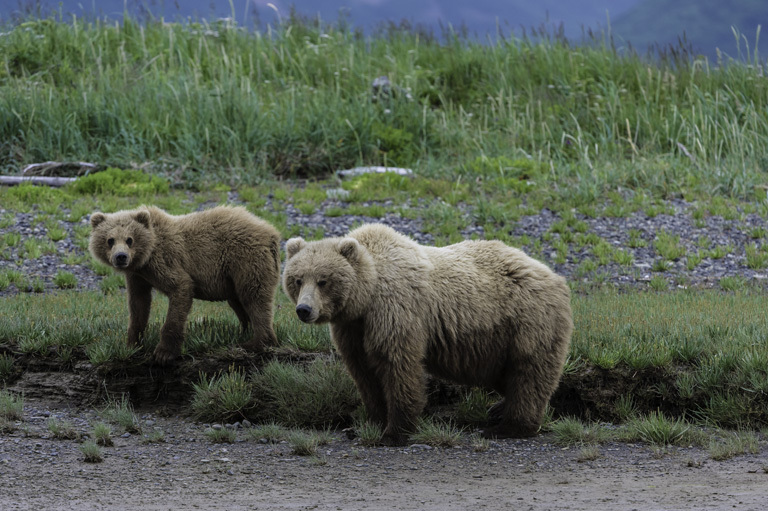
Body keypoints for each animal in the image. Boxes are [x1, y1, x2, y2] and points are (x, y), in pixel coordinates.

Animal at [90, 204, 282, 364]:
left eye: (129, 239)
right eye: (110, 240)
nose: (121, 257)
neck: (146, 257)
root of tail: (270, 231)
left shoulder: (165, 261)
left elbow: (180, 288)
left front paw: (164, 353)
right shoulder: (138, 277)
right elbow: (138, 305)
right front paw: (132, 344)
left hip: (245, 259)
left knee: (254, 297)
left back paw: (256, 342)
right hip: (233, 277)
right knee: (239, 301)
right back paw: (244, 332)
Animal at [282, 223, 568, 444]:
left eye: (323, 280)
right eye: (297, 279)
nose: (304, 309)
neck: (367, 294)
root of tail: (554, 275)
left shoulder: (395, 312)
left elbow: (398, 366)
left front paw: (395, 432)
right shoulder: (353, 328)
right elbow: (364, 372)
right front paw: (370, 421)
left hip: (526, 322)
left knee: (529, 372)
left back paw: (508, 426)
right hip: (496, 341)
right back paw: (499, 409)